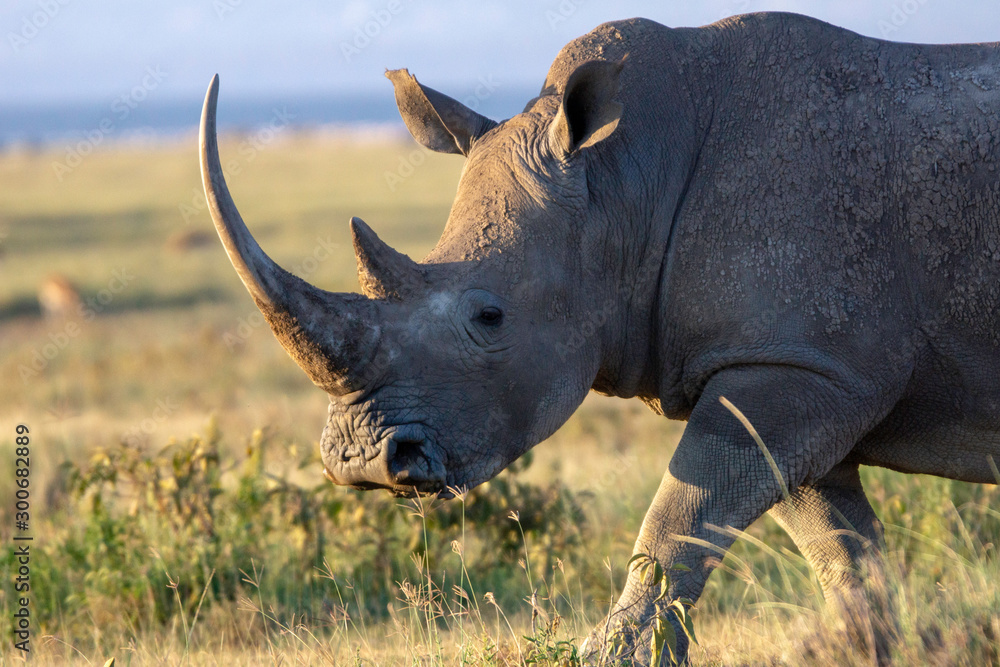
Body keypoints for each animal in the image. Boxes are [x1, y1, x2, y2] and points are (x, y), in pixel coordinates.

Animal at [199, 11, 1000, 663]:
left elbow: (683, 510)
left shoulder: (807, 367)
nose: (363, 461)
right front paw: (873, 646)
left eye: (489, 318)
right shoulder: (795, 363)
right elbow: (837, 545)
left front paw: (610, 654)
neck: (622, 185)